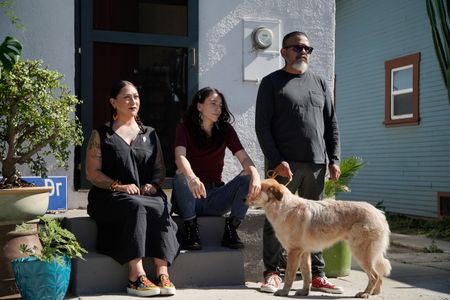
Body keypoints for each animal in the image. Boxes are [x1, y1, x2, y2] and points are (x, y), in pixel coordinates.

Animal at [248, 178, 392, 298]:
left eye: (256, 189)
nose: (244, 199)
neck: (283, 207)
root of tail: (379, 213)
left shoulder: (294, 252)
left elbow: (289, 276)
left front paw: (284, 292)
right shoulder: (304, 253)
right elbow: (307, 275)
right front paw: (304, 292)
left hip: (360, 253)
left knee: (374, 275)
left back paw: (365, 293)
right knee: (379, 275)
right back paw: (374, 292)